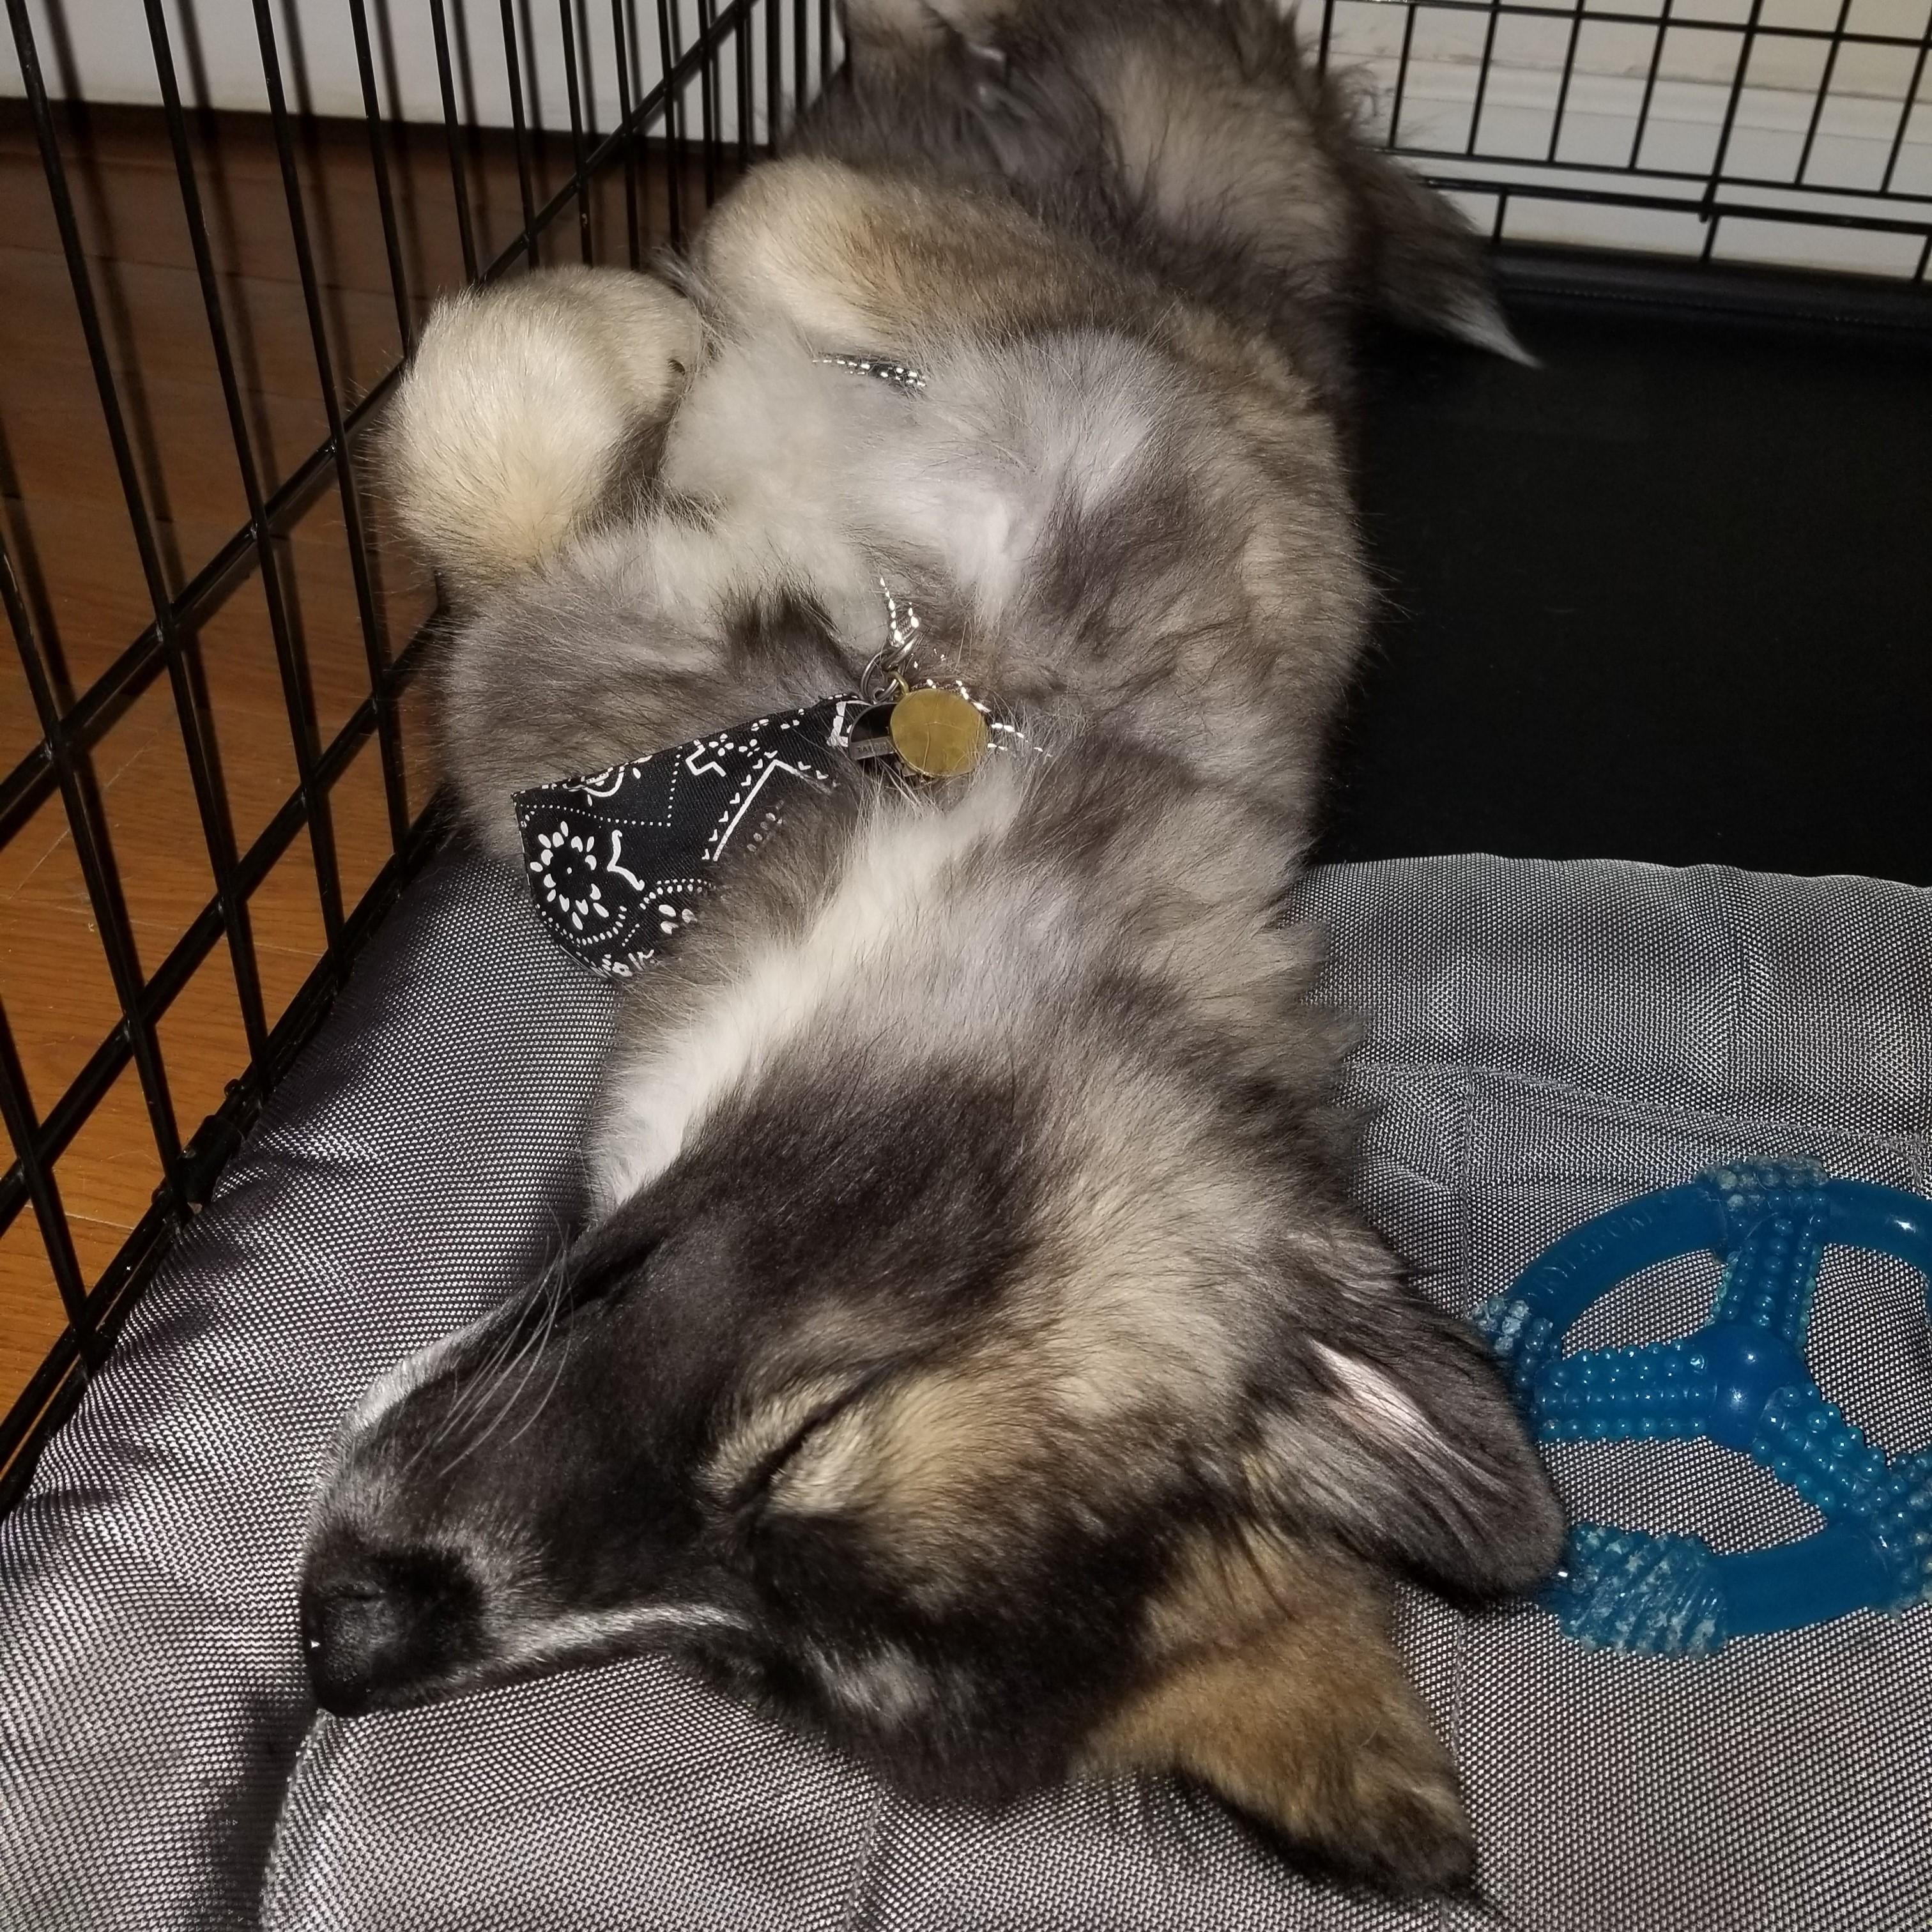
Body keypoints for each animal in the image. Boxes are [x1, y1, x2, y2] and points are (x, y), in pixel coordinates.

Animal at [302, 0, 1563, 1897]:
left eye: (744, 1662)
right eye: (817, 1425)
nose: (337, 1648)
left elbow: (511, 405)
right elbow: (691, 270)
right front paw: (657, 331)